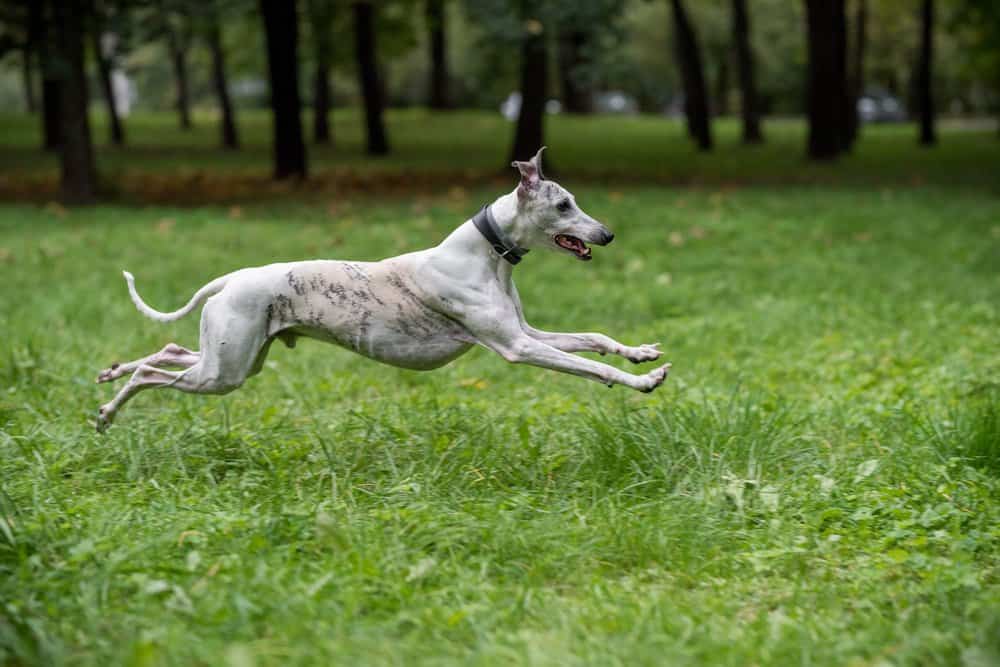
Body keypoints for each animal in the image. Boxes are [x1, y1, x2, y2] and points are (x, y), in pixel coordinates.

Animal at [95, 147, 672, 434]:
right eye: (564, 204)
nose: (608, 235)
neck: (485, 256)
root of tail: (231, 278)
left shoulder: (525, 331)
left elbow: (594, 339)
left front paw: (642, 353)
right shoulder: (517, 346)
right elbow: (591, 366)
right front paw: (641, 382)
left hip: (236, 356)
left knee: (169, 349)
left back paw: (112, 372)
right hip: (224, 372)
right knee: (156, 373)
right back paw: (107, 412)